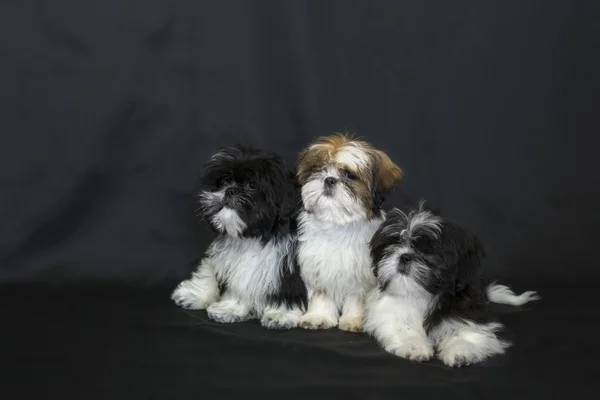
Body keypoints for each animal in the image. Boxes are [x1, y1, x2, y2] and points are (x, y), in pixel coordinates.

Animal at [171, 145, 308, 330]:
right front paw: (230, 308)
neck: (252, 237)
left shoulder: (287, 265)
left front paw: (281, 314)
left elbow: (288, 288)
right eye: (223, 182)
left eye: (251, 185)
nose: (230, 190)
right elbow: (237, 283)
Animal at [296, 134, 404, 332]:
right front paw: (318, 316)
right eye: (319, 169)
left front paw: (354, 320)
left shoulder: (363, 276)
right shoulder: (317, 265)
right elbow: (321, 293)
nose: (329, 179)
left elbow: (357, 297)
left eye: (350, 175)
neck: (337, 224)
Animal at [364, 202, 540, 368]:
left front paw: (460, 351)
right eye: (392, 245)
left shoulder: (468, 311)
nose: (404, 256)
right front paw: (415, 346)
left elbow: (468, 330)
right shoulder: (388, 312)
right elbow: (401, 326)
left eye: (427, 251)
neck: (422, 294)